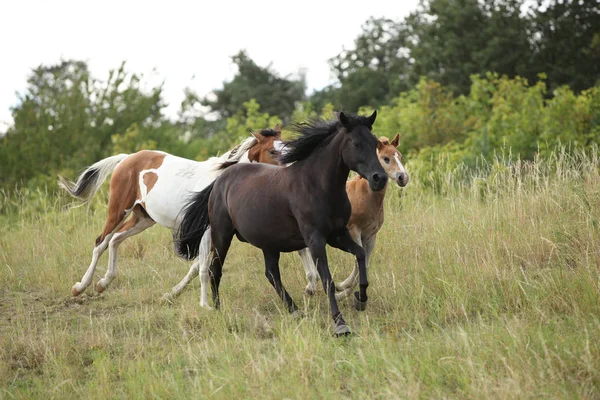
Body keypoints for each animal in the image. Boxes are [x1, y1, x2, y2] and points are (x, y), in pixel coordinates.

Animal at [59, 126, 282, 296]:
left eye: (287, 146)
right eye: (272, 151)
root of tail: (127, 158)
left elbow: (196, 266)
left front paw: (172, 293)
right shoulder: (206, 232)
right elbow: (201, 266)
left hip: (143, 218)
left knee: (115, 239)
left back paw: (103, 283)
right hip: (118, 210)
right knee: (101, 242)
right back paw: (80, 287)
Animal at [176, 111, 386, 336]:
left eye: (375, 143)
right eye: (355, 143)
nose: (379, 178)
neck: (316, 185)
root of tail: (220, 181)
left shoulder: (338, 235)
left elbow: (360, 255)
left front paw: (360, 300)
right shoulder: (315, 240)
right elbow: (327, 280)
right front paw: (340, 324)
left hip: (268, 243)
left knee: (271, 273)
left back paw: (294, 310)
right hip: (222, 235)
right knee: (215, 270)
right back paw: (218, 311)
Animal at [298, 133, 408, 298]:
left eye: (400, 156)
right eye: (386, 158)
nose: (403, 177)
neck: (365, 195)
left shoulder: (371, 235)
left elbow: (365, 264)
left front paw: (343, 289)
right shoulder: (354, 230)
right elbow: (358, 259)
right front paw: (342, 287)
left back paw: (312, 284)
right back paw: (311, 284)